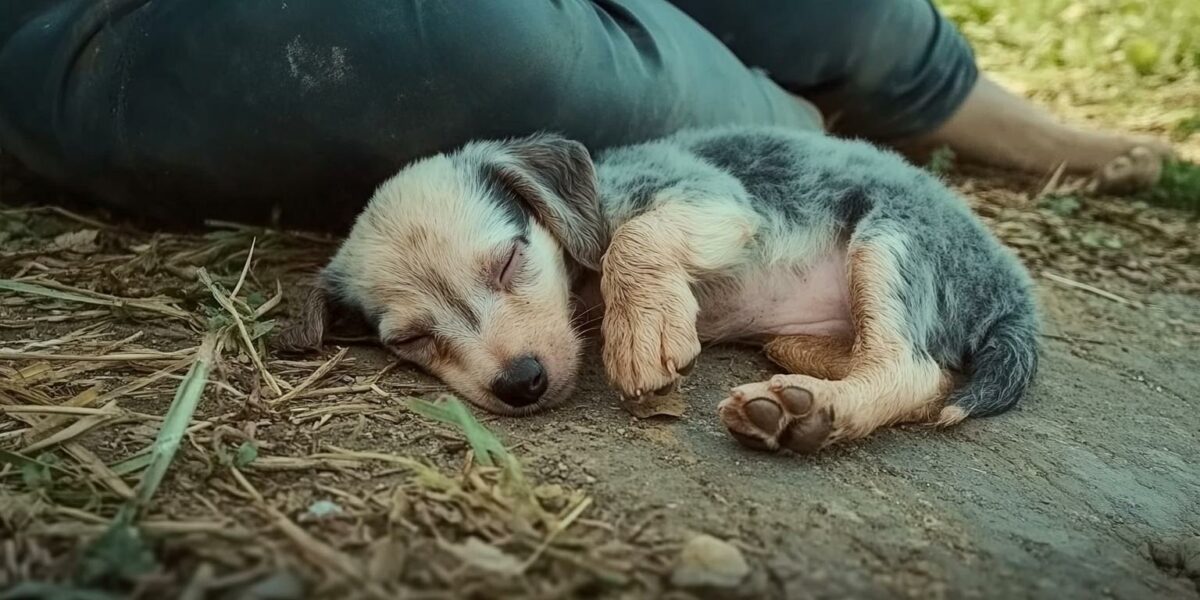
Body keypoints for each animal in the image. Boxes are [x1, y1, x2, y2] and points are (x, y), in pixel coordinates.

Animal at [280, 126, 1041, 453]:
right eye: (410, 339)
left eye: (508, 262)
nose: (522, 383)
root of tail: (1014, 294)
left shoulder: (719, 200)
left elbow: (634, 239)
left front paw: (640, 331)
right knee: (920, 368)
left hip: (892, 243)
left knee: (911, 368)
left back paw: (812, 410)